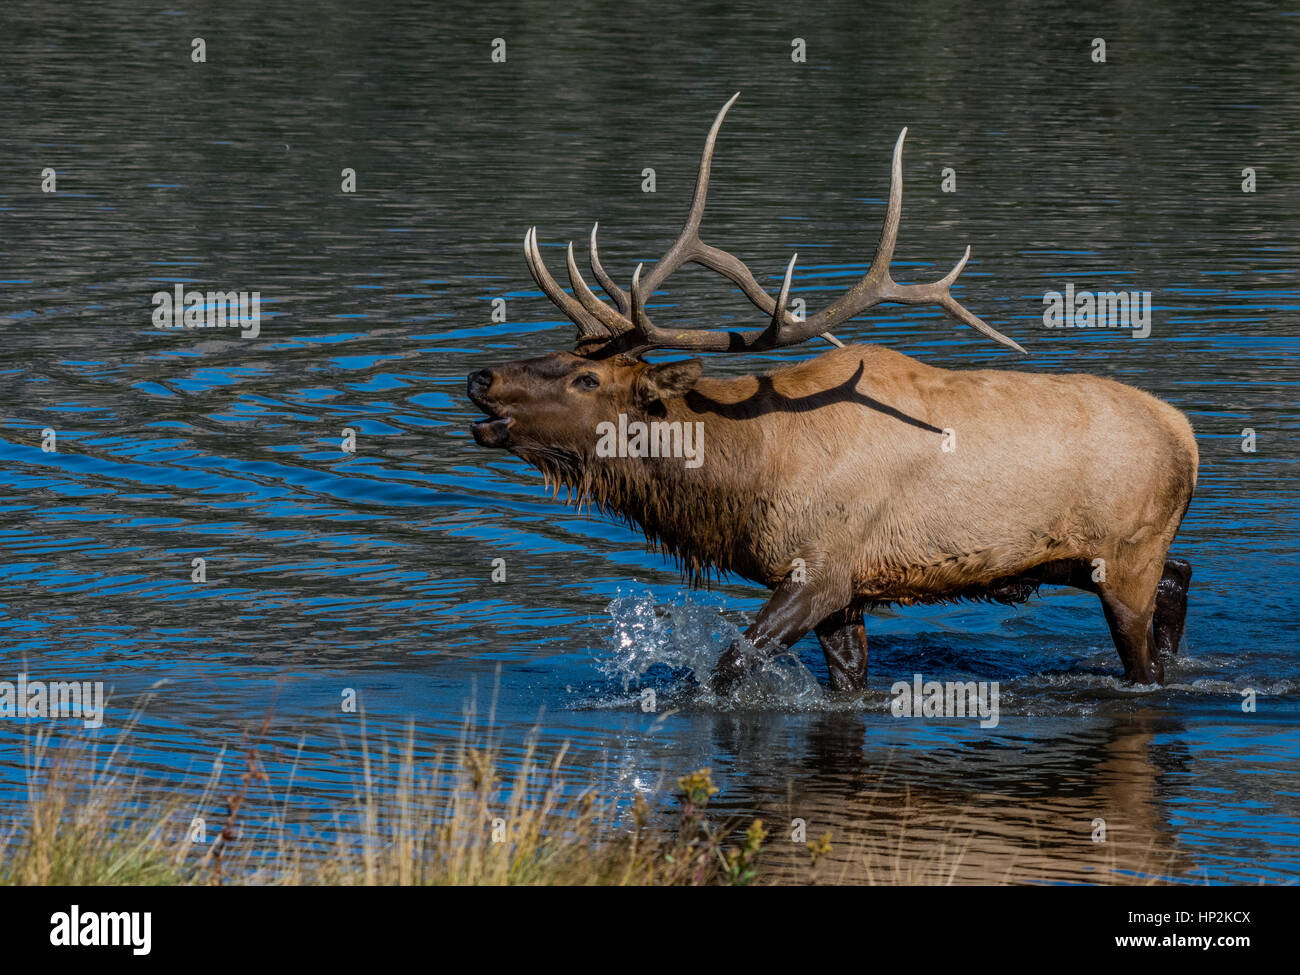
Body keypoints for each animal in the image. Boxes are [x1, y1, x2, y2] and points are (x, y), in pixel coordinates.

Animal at [470, 95, 1196, 696]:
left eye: (586, 379)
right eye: (564, 355)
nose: (480, 378)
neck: (745, 476)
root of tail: (1187, 437)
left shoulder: (820, 572)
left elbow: (726, 668)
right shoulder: (848, 596)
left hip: (1125, 556)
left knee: (1147, 651)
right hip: (1080, 557)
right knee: (1181, 576)